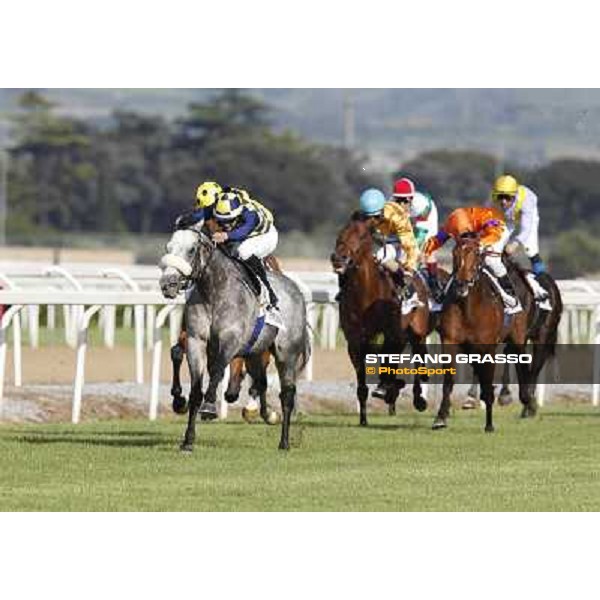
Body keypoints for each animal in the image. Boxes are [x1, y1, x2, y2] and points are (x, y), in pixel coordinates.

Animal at [159, 225, 310, 450]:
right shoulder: (196, 340)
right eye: (168, 247)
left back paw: (284, 441)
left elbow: (217, 371)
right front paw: (188, 439)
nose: (167, 283)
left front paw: (210, 406)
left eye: (192, 250)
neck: (214, 292)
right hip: (255, 353)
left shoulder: (230, 341)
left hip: (286, 354)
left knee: (287, 394)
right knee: (261, 382)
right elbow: (195, 390)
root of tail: (296, 290)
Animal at [328, 213, 432, 424]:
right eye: (341, 233)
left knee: (419, 358)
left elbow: (388, 362)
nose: (338, 258)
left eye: (361, 235)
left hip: (417, 331)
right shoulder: (355, 341)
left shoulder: (390, 333)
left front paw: (389, 388)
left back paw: (419, 398)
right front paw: (363, 419)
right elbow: (362, 384)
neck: (365, 295)